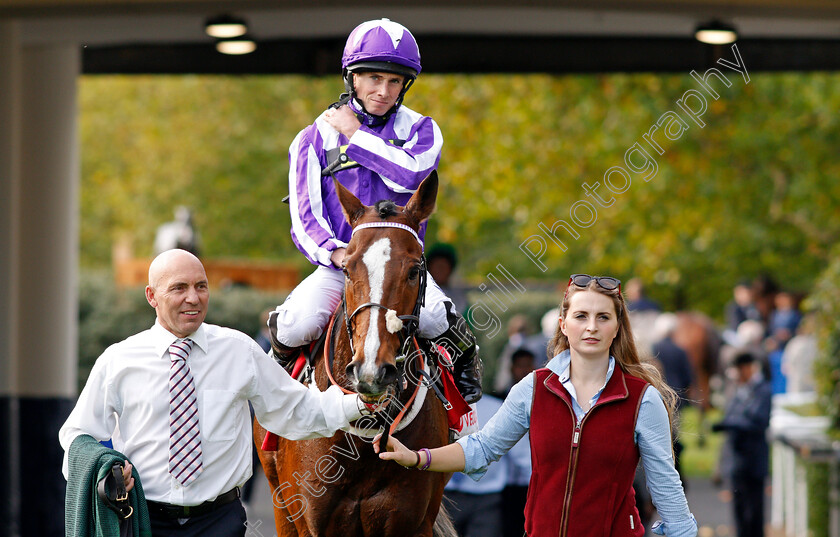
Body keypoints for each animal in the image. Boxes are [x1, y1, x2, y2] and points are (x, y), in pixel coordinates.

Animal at [254, 174, 456, 536]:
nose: (372, 370)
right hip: (281, 505)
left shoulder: (412, 522)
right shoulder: (311, 522)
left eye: (414, 270)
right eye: (347, 268)